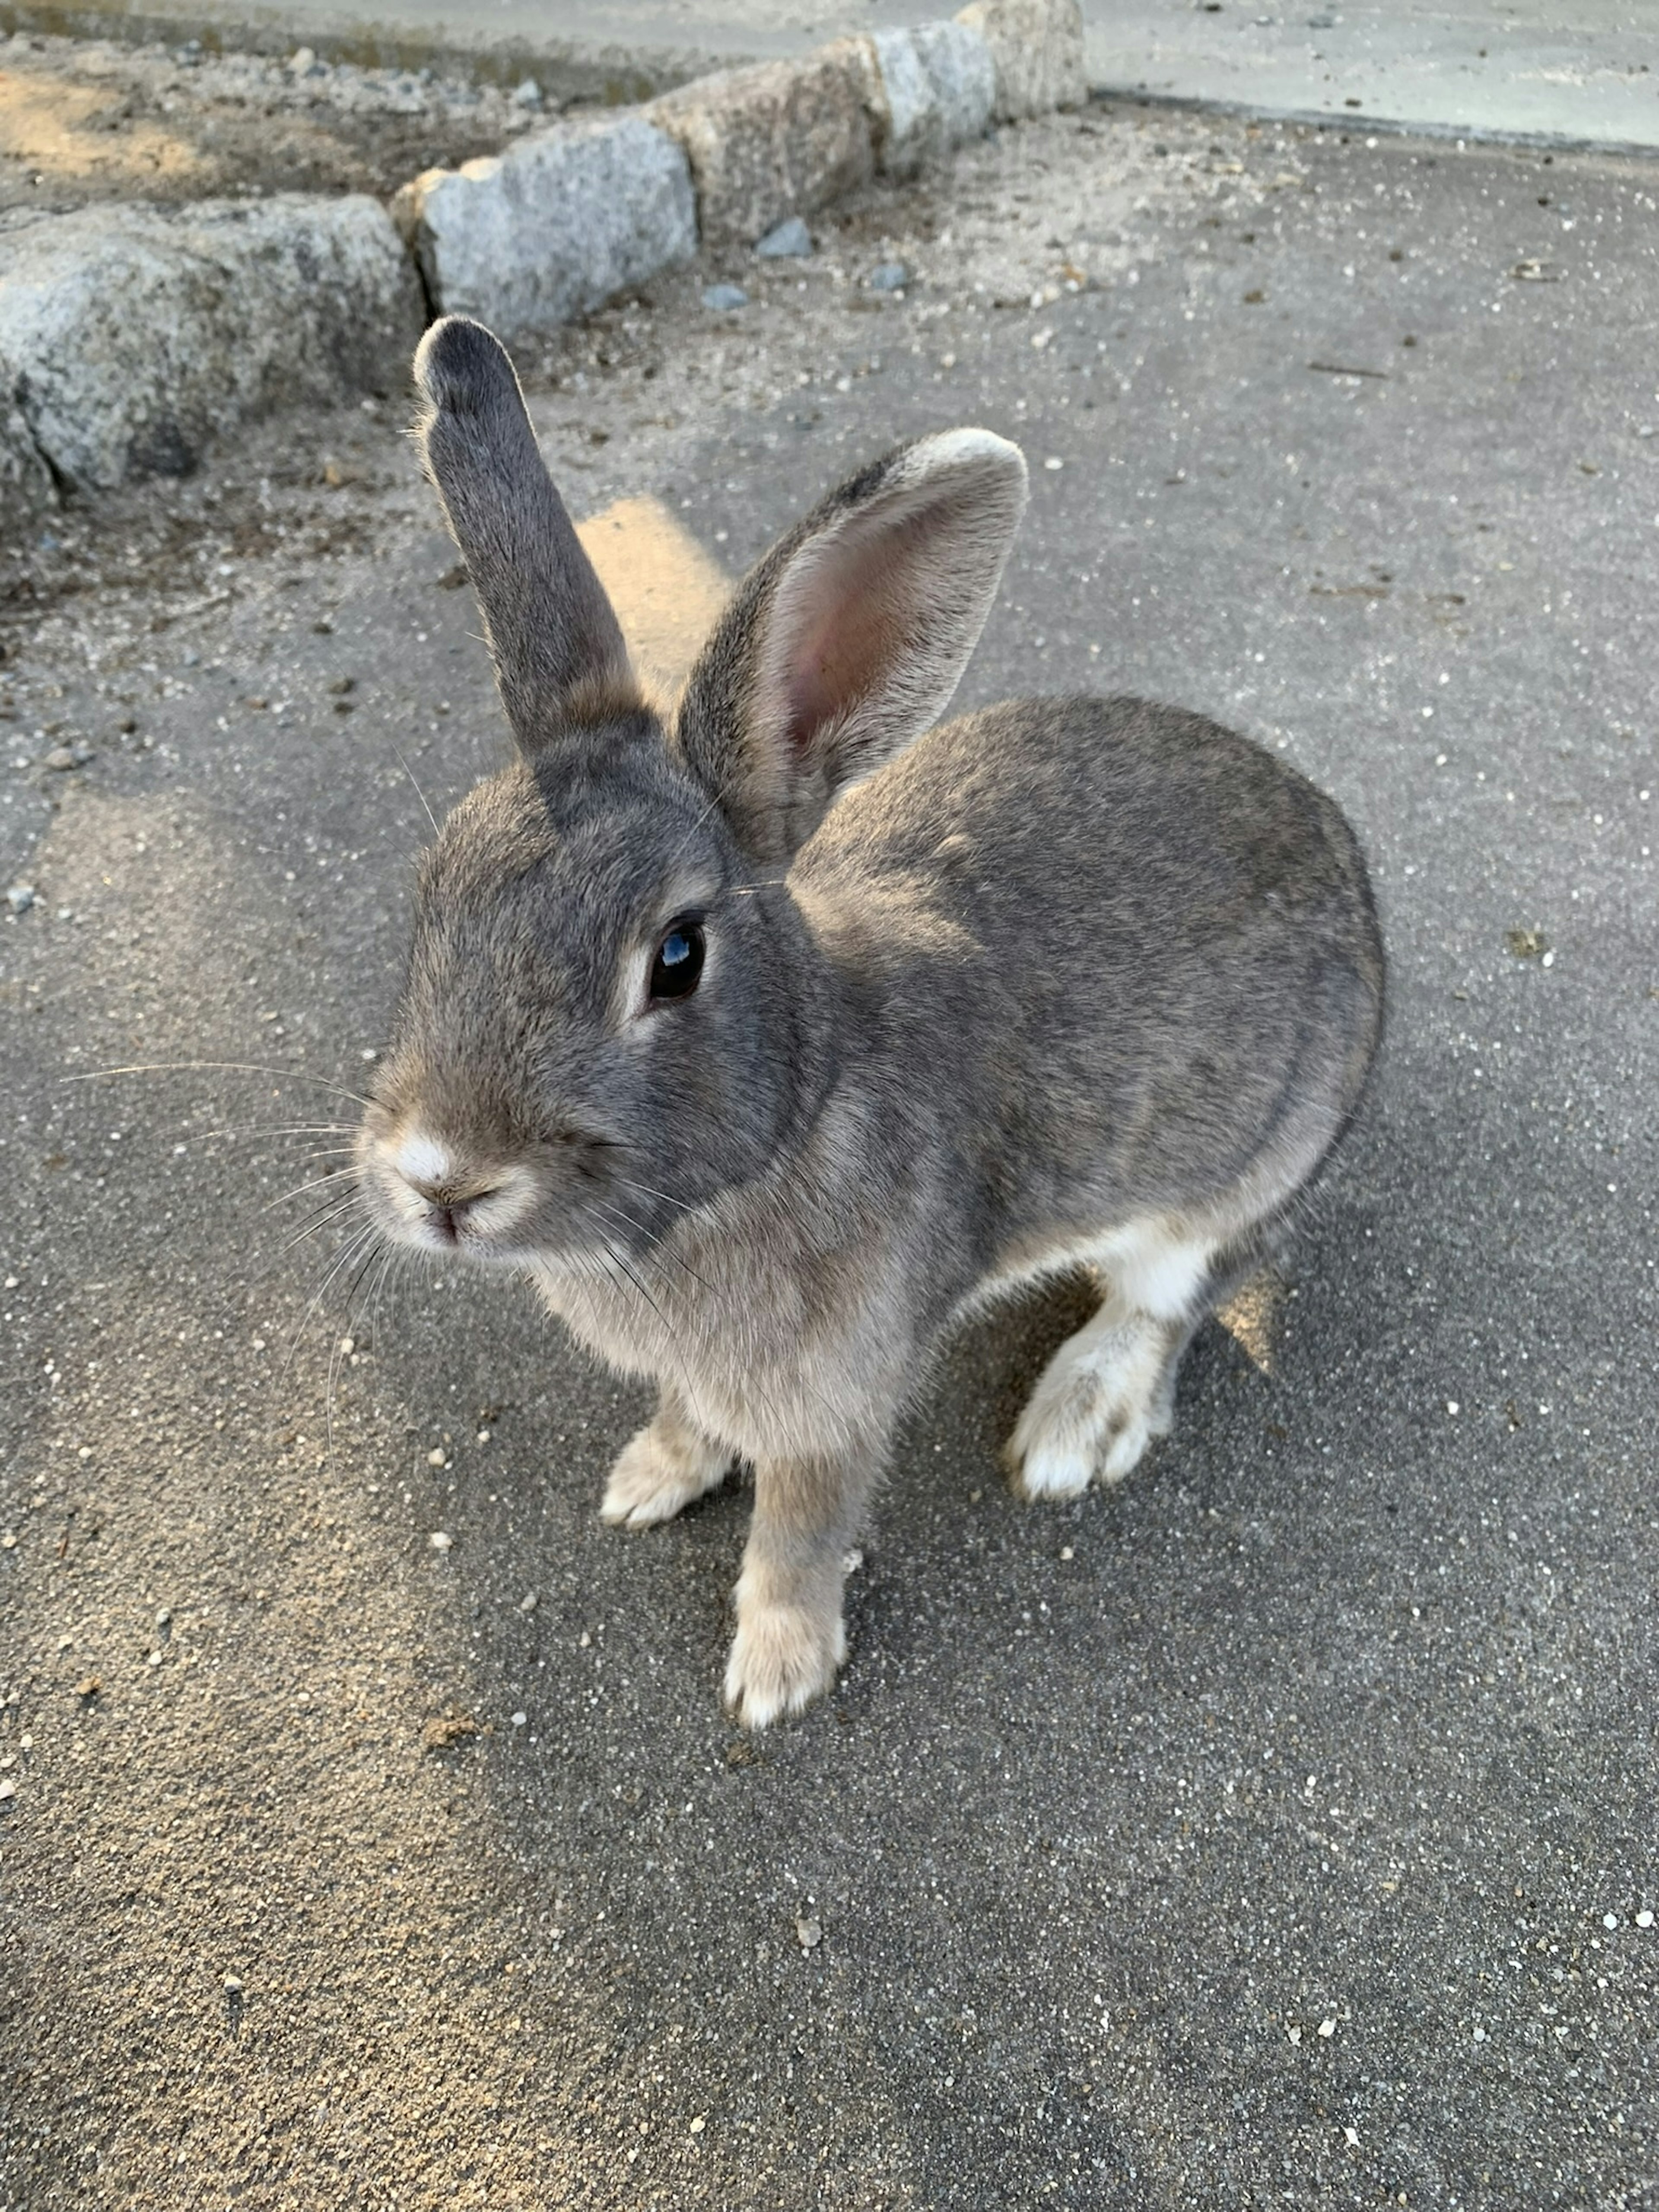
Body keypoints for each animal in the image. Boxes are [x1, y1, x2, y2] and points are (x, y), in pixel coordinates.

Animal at [360, 316, 1389, 1725]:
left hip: (1235, 1180)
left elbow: (800, 1529)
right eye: (431, 894)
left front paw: (777, 1672)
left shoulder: (835, 1399)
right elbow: (692, 1420)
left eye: (675, 956)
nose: (443, 1182)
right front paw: (650, 1477)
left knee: (1171, 1301)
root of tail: (1343, 857)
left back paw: (1072, 1427)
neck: (781, 1126)